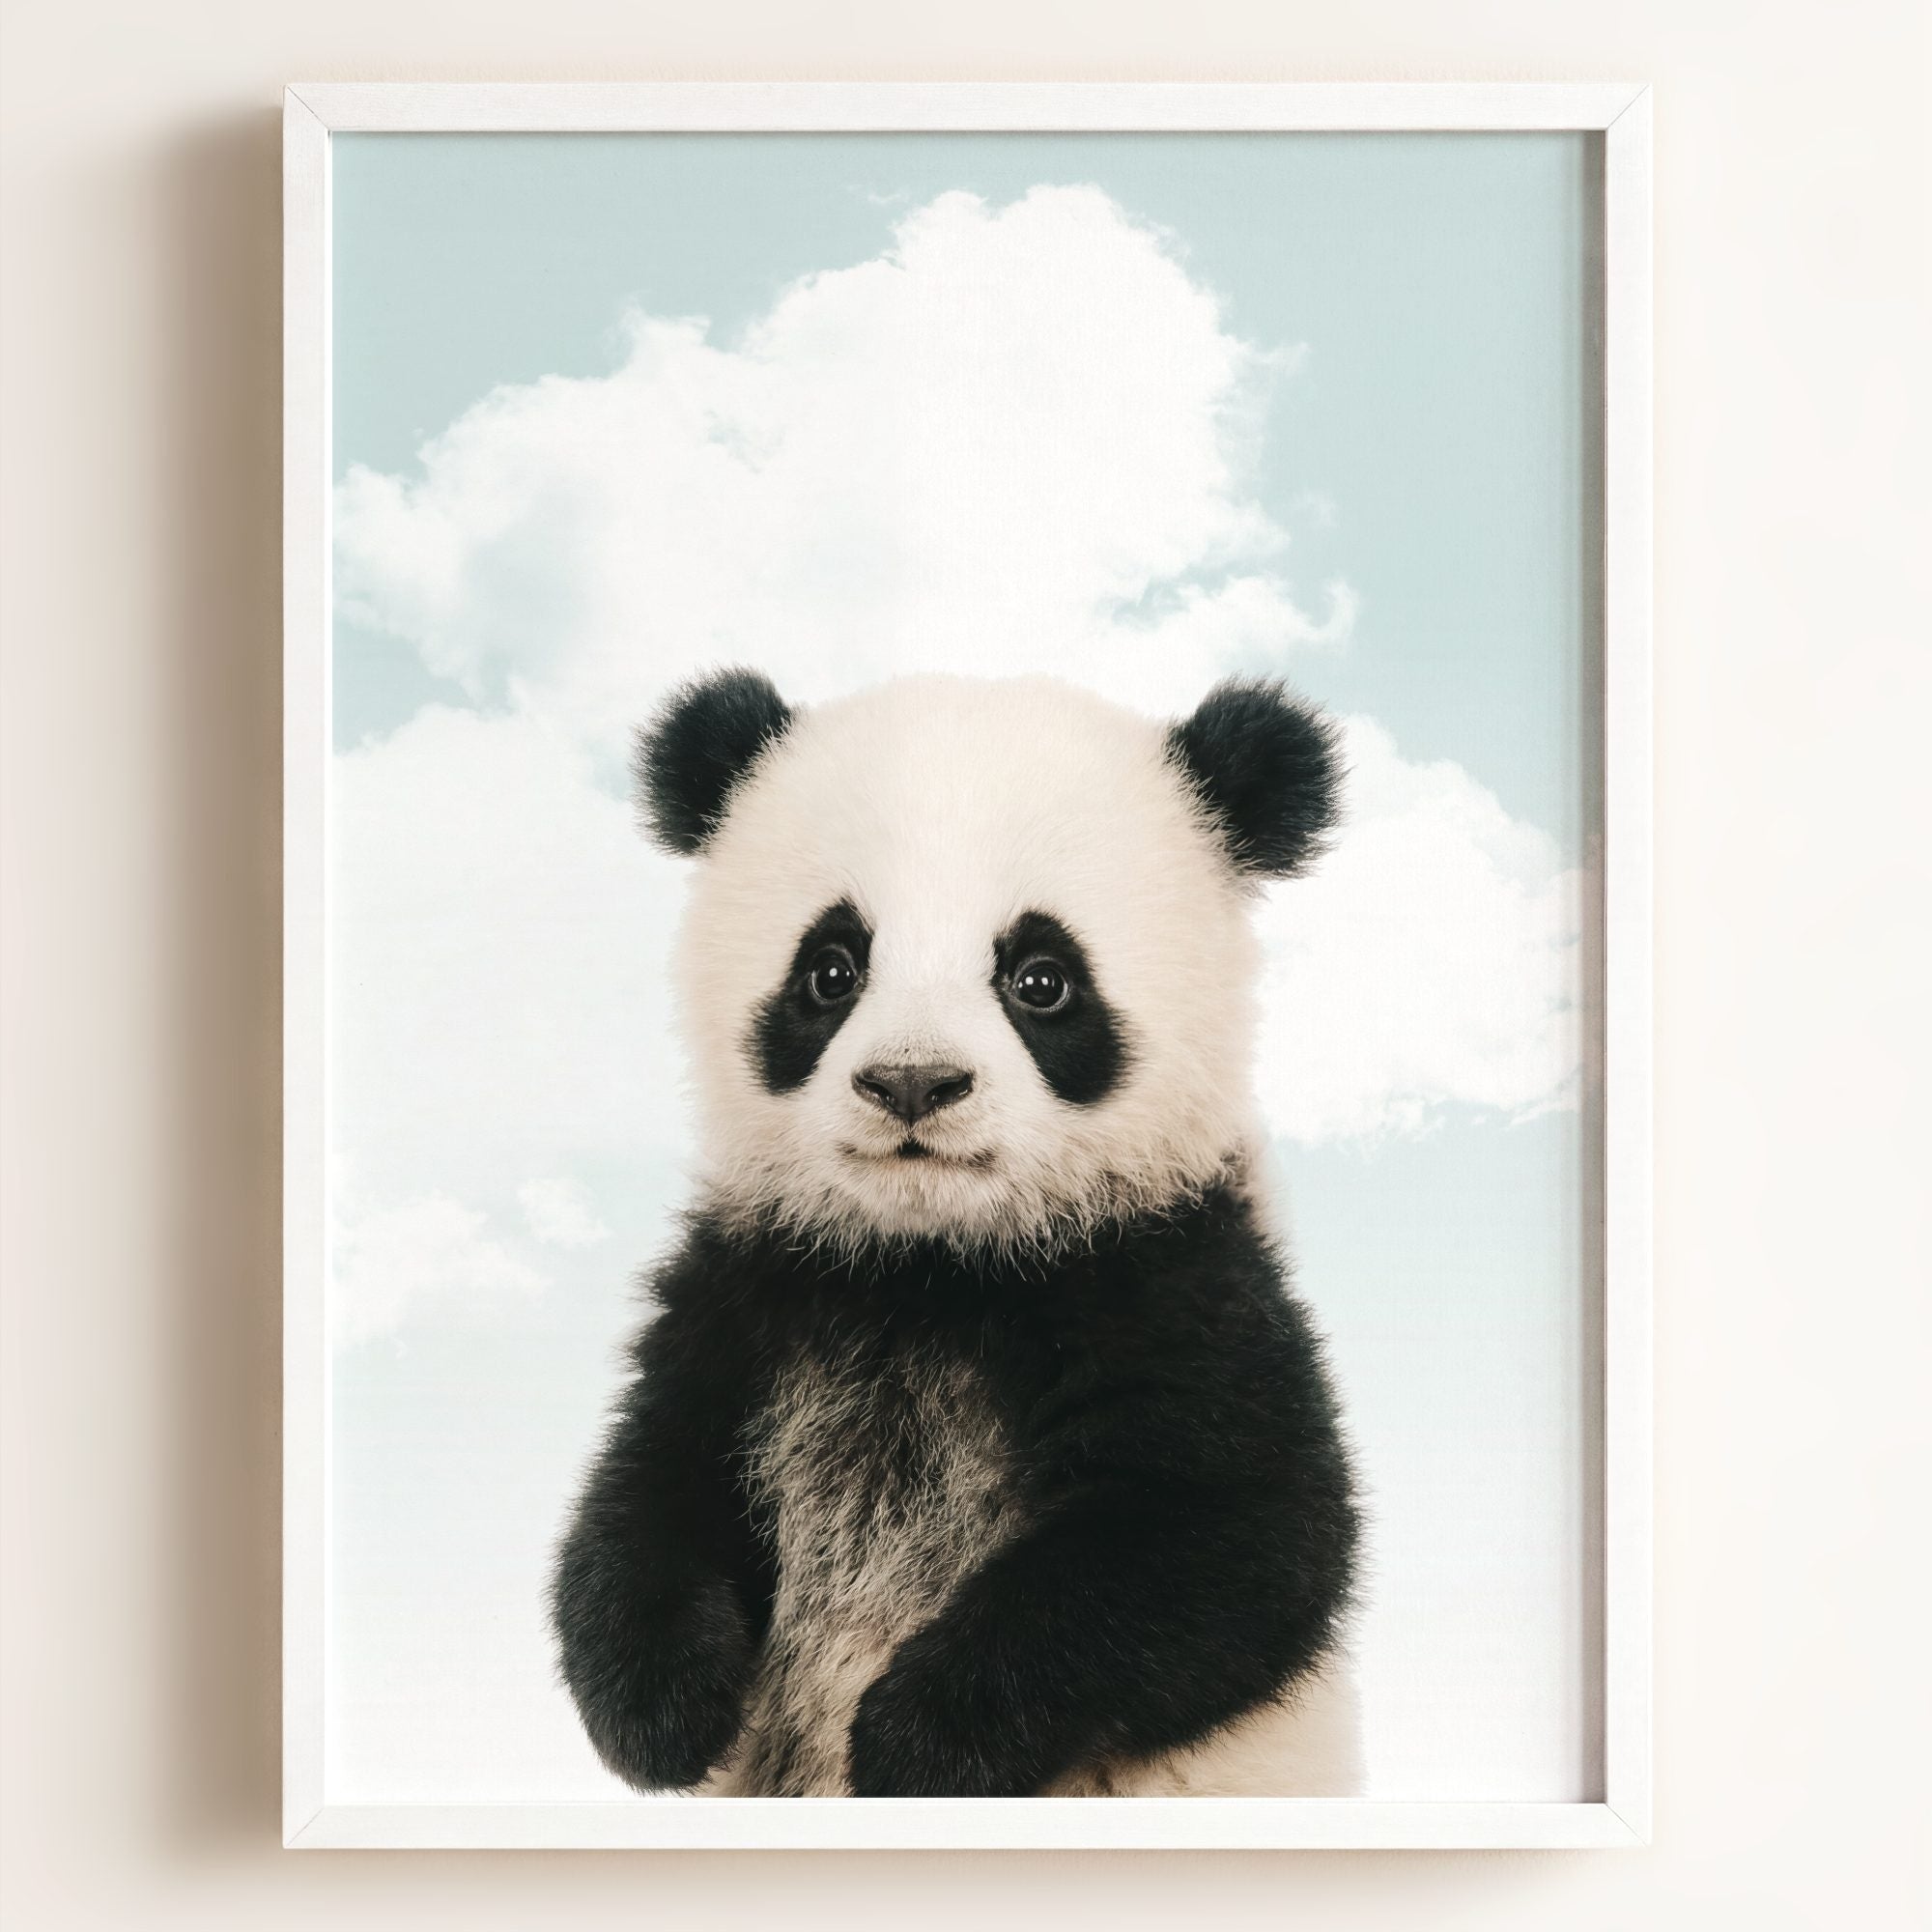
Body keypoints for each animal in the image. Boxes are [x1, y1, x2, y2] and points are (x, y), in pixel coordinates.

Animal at [551, 668, 1363, 1799]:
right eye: (831, 969)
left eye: (1040, 978)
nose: (911, 1082)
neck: (932, 1263)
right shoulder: (754, 1287)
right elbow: (651, 1487)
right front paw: (666, 1710)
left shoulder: (1173, 1277)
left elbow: (1232, 1537)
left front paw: (916, 1739)